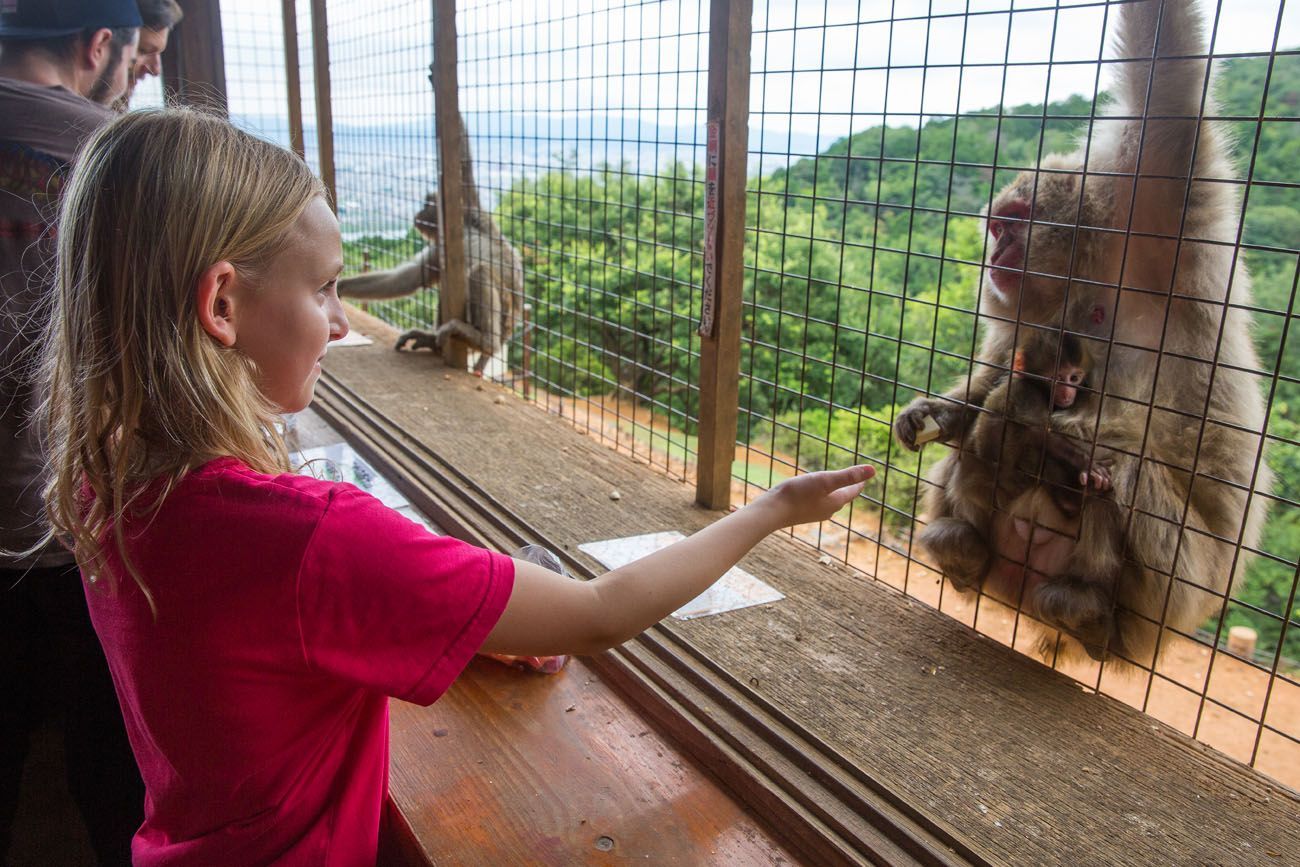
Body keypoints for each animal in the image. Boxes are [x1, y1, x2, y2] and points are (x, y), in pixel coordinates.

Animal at [894, 0, 1268, 670]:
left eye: (1013, 225)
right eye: (995, 228)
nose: (995, 256)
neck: (1091, 278)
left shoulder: (1164, 217)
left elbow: (1166, 79)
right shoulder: (1028, 312)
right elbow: (1003, 371)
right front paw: (934, 413)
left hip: (1175, 593)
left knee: (1116, 463)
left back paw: (1089, 614)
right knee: (1004, 415)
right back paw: (963, 549)